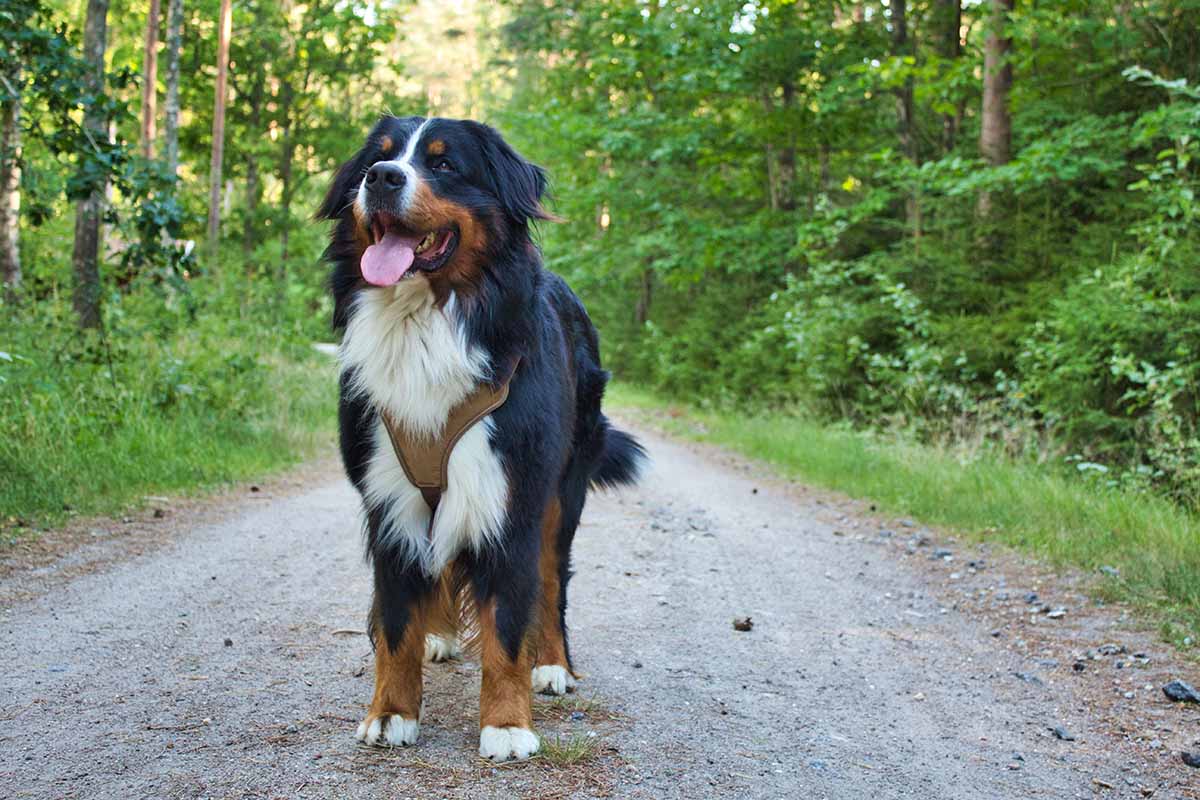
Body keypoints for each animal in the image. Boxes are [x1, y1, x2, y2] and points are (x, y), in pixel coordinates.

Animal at [314, 115, 643, 762]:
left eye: (444, 164)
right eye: (378, 157)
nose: (382, 178)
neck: (426, 323)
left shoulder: (511, 496)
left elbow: (509, 624)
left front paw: (508, 723)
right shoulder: (387, 500)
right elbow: (395, 621)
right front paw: (391, 713)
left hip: (561, 493)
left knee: (551, 583)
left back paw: (552, 665)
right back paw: (438, 636)